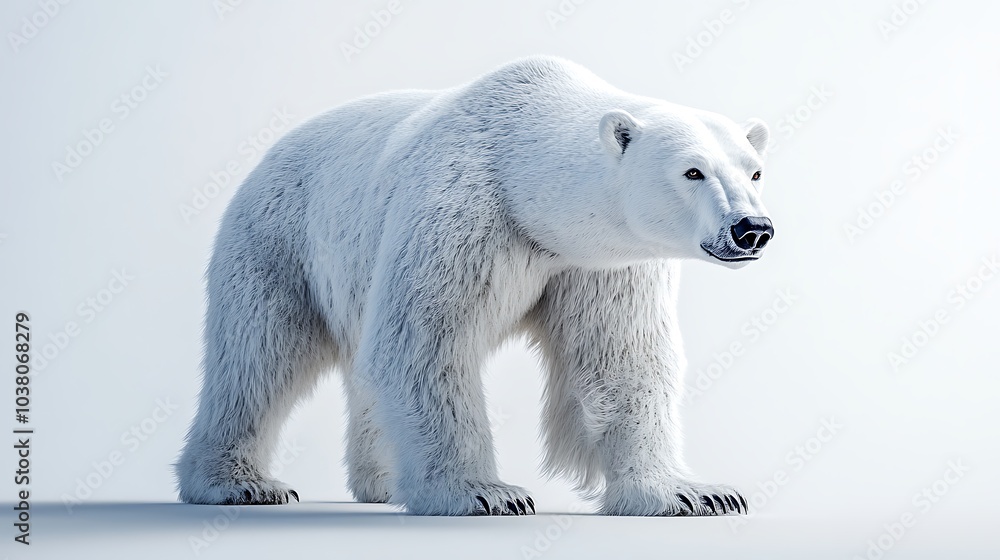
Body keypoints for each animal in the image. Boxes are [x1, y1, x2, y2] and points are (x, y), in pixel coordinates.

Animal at [176, 55, 774, 517]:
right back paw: (239, 483)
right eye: (692, 171)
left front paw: (696, 494)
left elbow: (620, 358)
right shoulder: (460, 211)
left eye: (754, 171)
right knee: (260, 356)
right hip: (281, 241)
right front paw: (486, 494)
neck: (524, 176)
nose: (752, 228)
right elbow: (426, 341)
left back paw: (386, 481)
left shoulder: (601, 261)